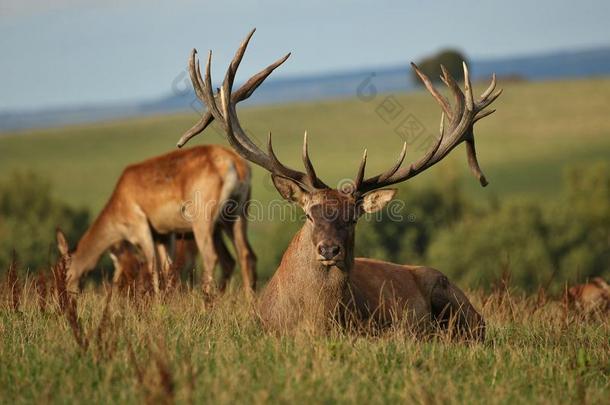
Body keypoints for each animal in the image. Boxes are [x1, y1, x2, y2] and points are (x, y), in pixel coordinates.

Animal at [58, 145, 255, 296]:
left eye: (65, 269)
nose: (66, 294)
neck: (119, 199)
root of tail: (234, 162)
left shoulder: (142, 231)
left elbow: (153, 267)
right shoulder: (164, 235)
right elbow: (168, 268)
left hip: (204, 224)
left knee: (212, 257)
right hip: (234, 219)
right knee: (244, 255)